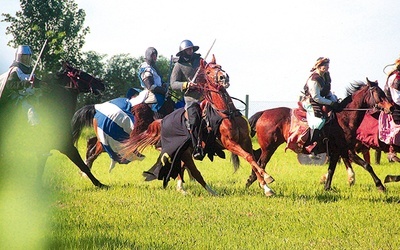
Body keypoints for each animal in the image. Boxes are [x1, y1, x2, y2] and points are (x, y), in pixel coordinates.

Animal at [121, 55, 276, 197]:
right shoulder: (230, 143)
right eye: (208, 71)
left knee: (184, 169)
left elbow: (253, 159)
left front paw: (266, 186)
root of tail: (162, 121)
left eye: (219, 66)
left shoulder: (245, 141)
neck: (226, 112)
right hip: (183, 153)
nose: (223, 77)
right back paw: (205, 192)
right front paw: (267, 179)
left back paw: (187, 189)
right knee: (193, 172)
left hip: (185, 153)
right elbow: (249, 157)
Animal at [247, 79, 394, 192]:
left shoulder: (340, 151)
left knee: (257, 160)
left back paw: (253, 181)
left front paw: (327, 187)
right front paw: (380, 185)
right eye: (379, 93)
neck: (344, 118)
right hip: (269, 148)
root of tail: (263, 113)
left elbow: (334, 169)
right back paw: (261, 182)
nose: (391, 107)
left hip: (267, 147)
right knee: (260, 163)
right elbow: (364, 165)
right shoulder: (343, 150)